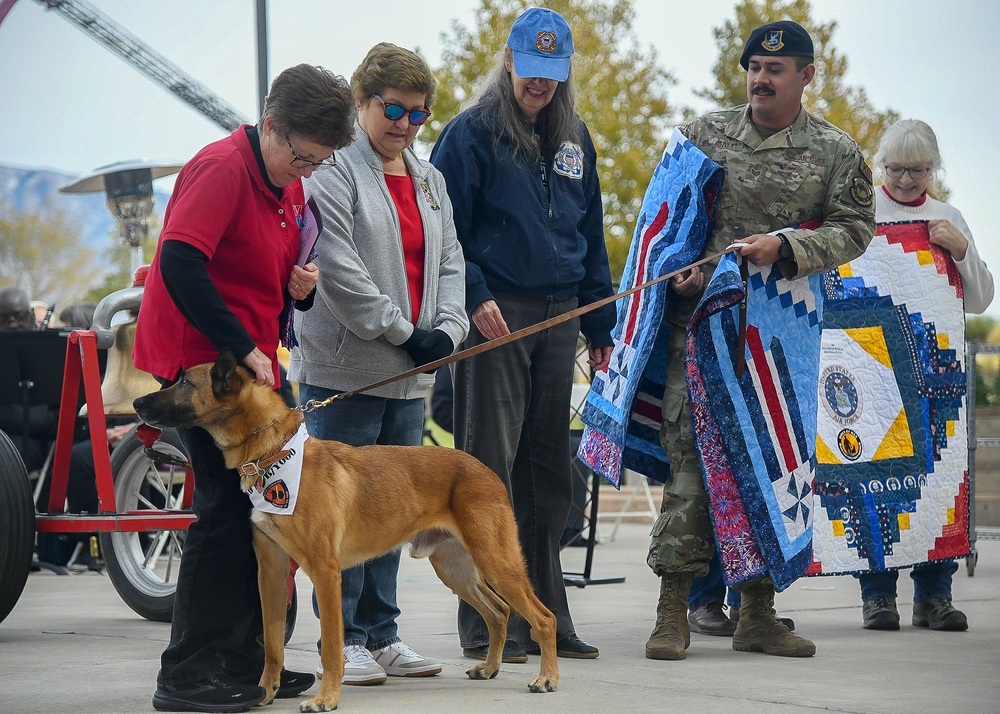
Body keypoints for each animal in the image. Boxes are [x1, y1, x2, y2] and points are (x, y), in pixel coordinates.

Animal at [134, 348, 560, 708]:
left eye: (184, 383)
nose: (137, 403)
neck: (273, 453)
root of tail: (485, 470)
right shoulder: (271, 570)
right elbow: (272, 642)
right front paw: (266, 692)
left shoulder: (325, 572)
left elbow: (330, 648)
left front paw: (326, 699)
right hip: (455, 568)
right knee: (499, 612)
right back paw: (491, 667)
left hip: (495, 561)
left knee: (543, 618)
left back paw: (547, 678)